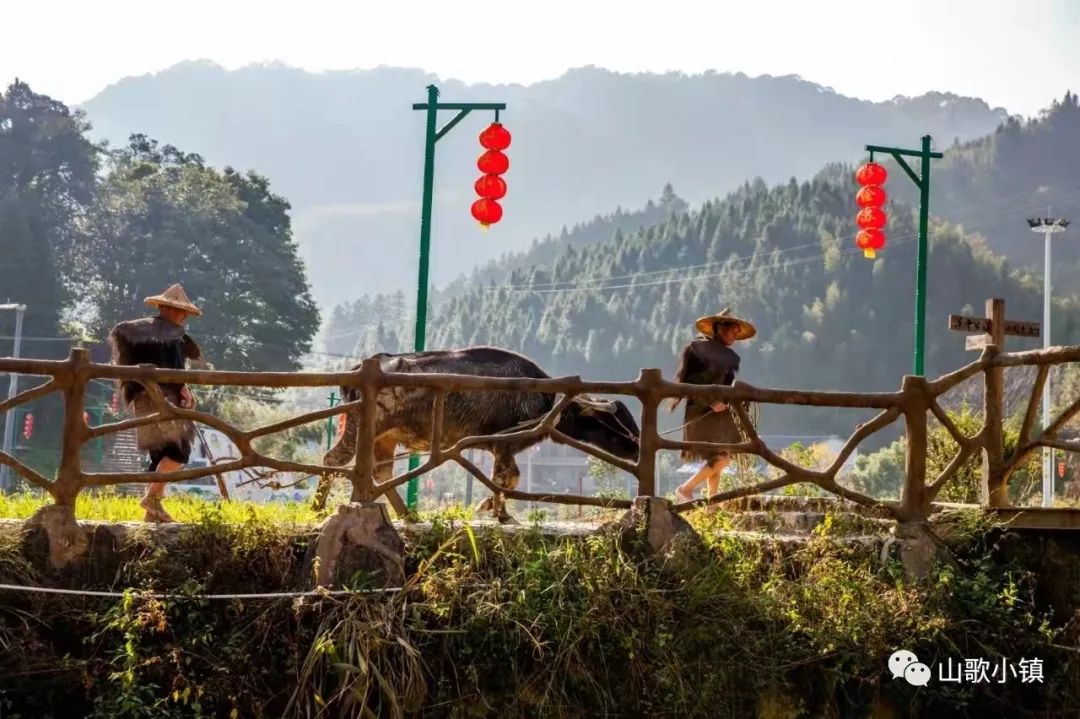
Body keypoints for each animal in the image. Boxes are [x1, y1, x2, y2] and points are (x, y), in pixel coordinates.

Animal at [319, 345, 639, 518]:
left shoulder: (503, 448)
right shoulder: (504, 445)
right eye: (614, 422)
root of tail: (356, 370)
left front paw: (490, 506)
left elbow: (505, 481)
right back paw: (319, 507)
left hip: (385, 437)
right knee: (332, 460)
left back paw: (407, 514)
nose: (637, 448)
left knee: (381, 471)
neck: (545, 399)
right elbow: (507, 479)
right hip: (360, 430)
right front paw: (496, 510)